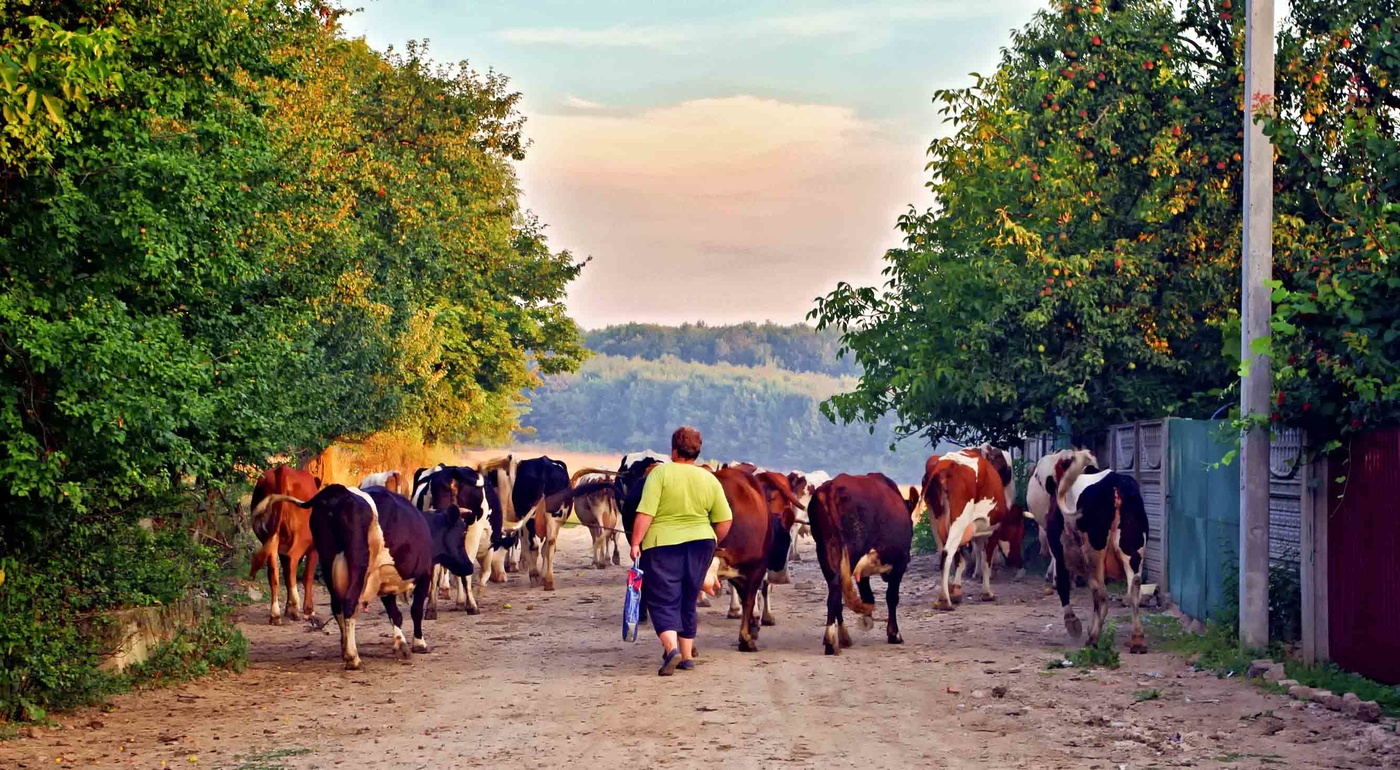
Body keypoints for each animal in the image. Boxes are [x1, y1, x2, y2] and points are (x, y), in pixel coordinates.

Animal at [250, 464, 320, 627]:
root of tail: (283, 470)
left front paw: (287, 609)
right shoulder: (314, 548)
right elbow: (307, 576)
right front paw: (308, 610)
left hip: (269, 539)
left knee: (274, 573)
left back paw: (275, 615)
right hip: (303, 538)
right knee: (292, 559)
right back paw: (295, 607)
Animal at [806, 473, 912, 655]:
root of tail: (834, 485)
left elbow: (867, 593)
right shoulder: (900, 561)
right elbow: (892, 597)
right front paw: (894, 634)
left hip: (824, 551)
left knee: (835, 590)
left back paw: (842, 637)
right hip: (852, 548)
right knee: (837, 586)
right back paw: (831, 641)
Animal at [1052, 453, 1148, 658]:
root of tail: (1117, 484)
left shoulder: (1059, 551)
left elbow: (1062, 583)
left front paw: (1074, 624)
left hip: (1094, 552)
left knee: (1101, 595)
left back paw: (1092, 640)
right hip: (1134, 551)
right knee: (1134, 588)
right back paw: (1137, 640)